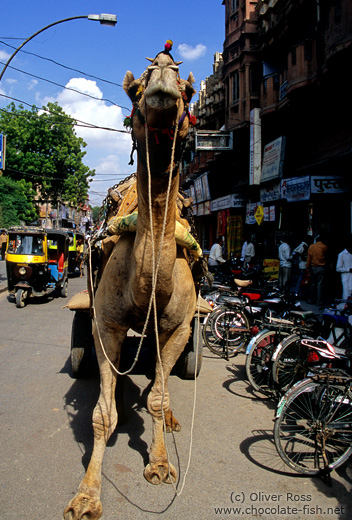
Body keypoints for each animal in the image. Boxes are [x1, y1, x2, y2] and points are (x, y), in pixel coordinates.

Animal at [63, 45, 198, 520]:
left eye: (187, 89)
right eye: (137, 87)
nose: (163, 75)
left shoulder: (179, 326)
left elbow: (157, 398)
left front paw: (159, 464)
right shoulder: (106, 323)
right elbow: (101, 415)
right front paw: (86, 496)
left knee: (162, 384)